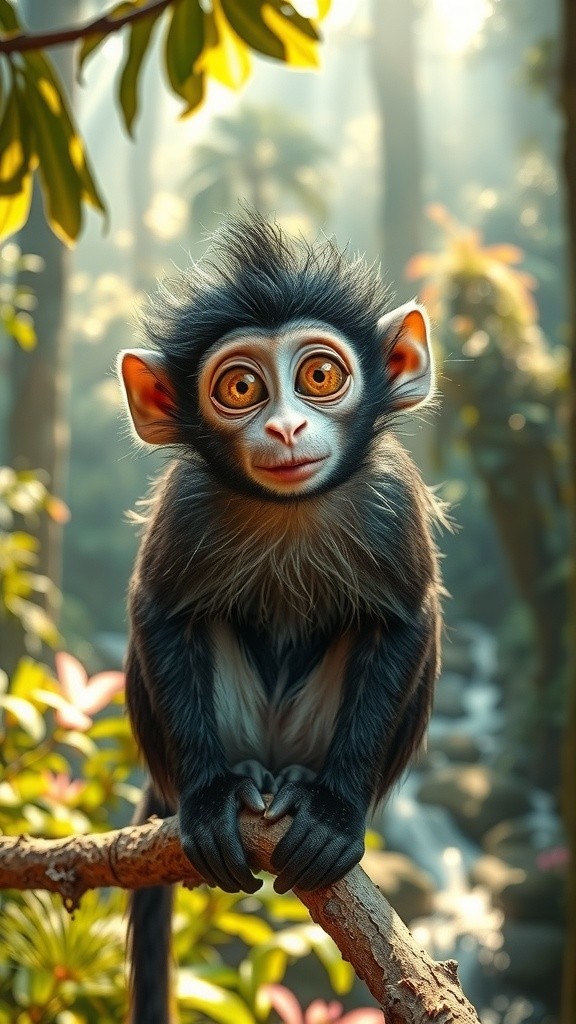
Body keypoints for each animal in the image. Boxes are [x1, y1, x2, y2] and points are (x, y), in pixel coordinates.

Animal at [118, 213, 444, 1024]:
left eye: (320, 376)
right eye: (241, 386)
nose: (289, 428)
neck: (289, 511)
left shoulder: (393, 500)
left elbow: (406, 619)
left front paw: (333, 813)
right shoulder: (186, 505)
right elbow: (159, 610)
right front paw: (209, 799)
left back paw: (297, 783)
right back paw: (243, 779)